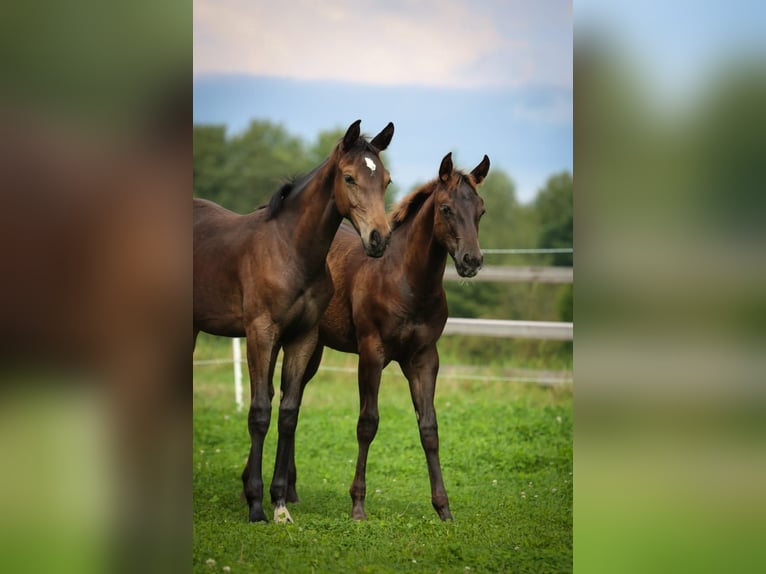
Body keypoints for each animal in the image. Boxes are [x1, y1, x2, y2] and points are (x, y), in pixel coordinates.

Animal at [192, 121, 396, 528]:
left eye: (385, 181)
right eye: (349, 177)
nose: (378, 239)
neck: (290, 249)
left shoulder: (302, 337)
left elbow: (287, 413)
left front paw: (280, 503)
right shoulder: (260, 332)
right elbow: (259, 412)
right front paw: (256, 505)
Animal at [300, 152, 492, 520]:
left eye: (481, 210)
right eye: (446, 208)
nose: (472, 261)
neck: (406, 281)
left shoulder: (424, 359)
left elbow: (429, 428)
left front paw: (443, 508)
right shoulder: (371, 354)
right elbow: (368, 423)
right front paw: (358, 506)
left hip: (313, 348)